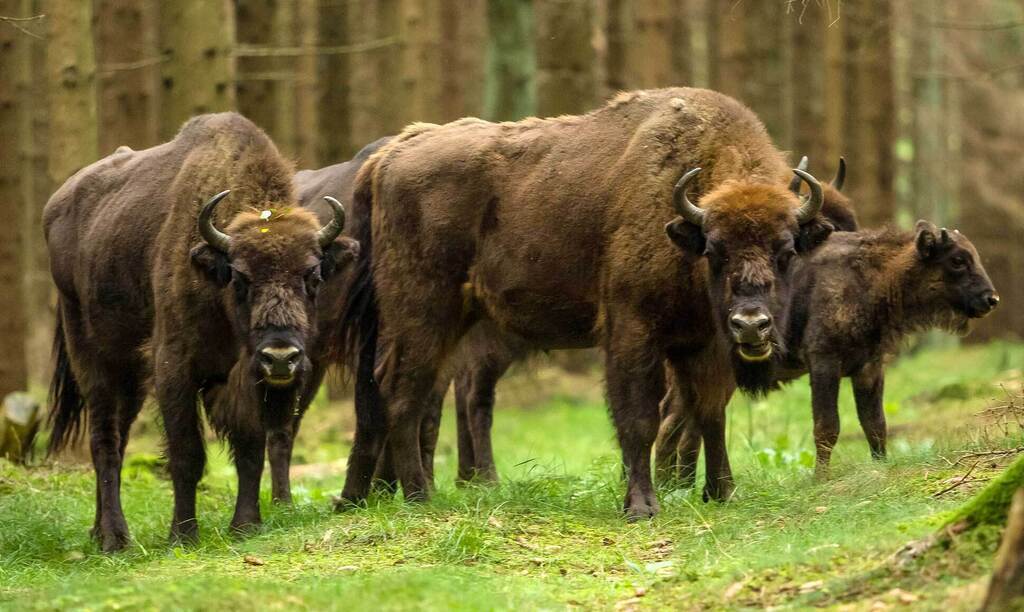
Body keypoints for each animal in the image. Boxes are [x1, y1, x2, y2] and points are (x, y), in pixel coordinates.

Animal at [44, 113, 358, 551]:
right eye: (240, 277)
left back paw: (97, 531)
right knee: (104, 439)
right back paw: (115, 539)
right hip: (93, 356)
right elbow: (187, 454)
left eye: (312, 275)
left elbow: (250, 446)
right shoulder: (174, 369)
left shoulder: (246, 378)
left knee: (119, 439)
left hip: (131, 376)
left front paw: (246, 524)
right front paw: (183, 534)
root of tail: (57, 203)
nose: (281, 357)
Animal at [336, 87, 838, 519]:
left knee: (405, 393)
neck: (682, 225)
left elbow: (708, 413)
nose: (751, 324)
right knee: (403, 392)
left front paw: (722, 492)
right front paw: (641, 507)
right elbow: (638, 418)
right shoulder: (631, 331)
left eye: (786, 250)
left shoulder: (704, 343)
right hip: (422, 312)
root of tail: (391, 155)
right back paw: (419, 496)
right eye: (714, 250)